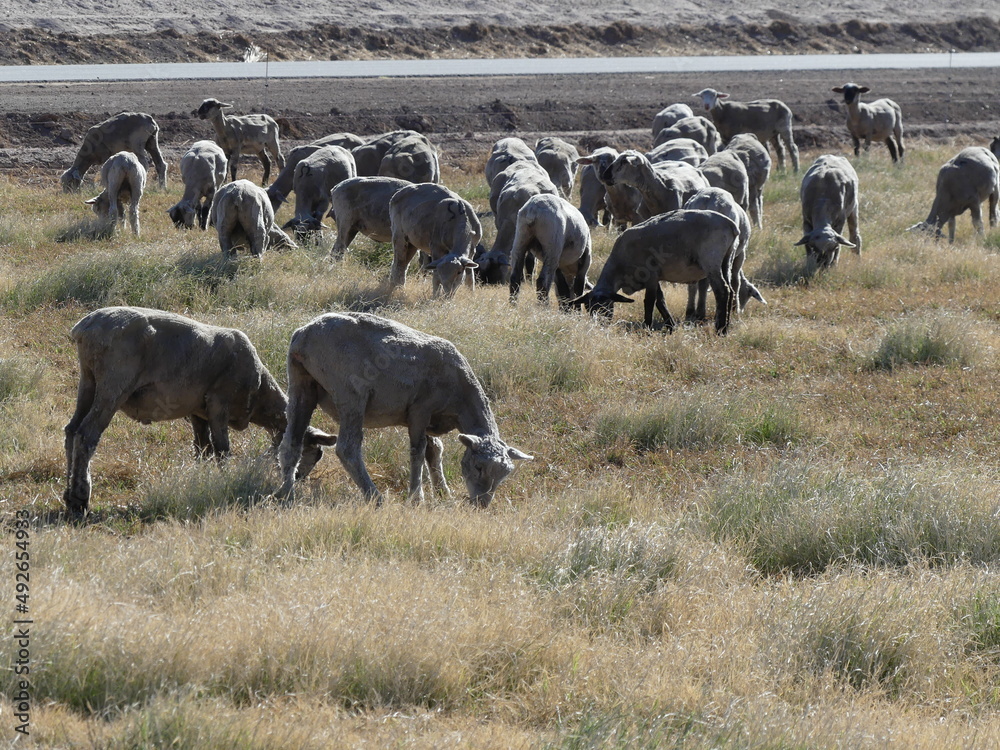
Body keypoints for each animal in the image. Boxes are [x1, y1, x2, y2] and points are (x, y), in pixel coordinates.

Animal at [63, 306, 336, 516]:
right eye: (316, 453)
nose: (299, 479)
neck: (261, 396)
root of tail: (84, 328)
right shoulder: (218, 402)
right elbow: (222, 450)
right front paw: (224, 481)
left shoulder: (198, 412)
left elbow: (202, 450)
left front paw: (201, 478)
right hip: (114, 383)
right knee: (87, 434)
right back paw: (81, 499)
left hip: (89, 379)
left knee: (71, 430)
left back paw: (68, 496)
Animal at [277, 311, 532, 506]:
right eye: (478, 466)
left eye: (505, 475)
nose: (481, 504)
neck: (461, 396)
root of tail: (304, 334)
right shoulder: (420, 410)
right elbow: (418, 451)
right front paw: (416, 497)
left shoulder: (430, 419)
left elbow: (434, 450)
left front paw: (443, 493)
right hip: (351, 393)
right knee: (347, 449)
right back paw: (375, 497)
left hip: (301, 382)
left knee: (292, 442)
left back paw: (285, 493)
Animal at [572, 209, 739, 334]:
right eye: (589, 309)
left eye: (603, 307)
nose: (599, 327)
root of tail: (731, 225)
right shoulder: (655, 278)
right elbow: (661, 300)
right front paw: (671, 327)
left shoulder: (650, 275)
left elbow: (649, 301)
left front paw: (647, 328)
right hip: (727, 260)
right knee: (730, 290)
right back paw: (727, 325)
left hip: (711, 261)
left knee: (722, 290)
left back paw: (721, 329)